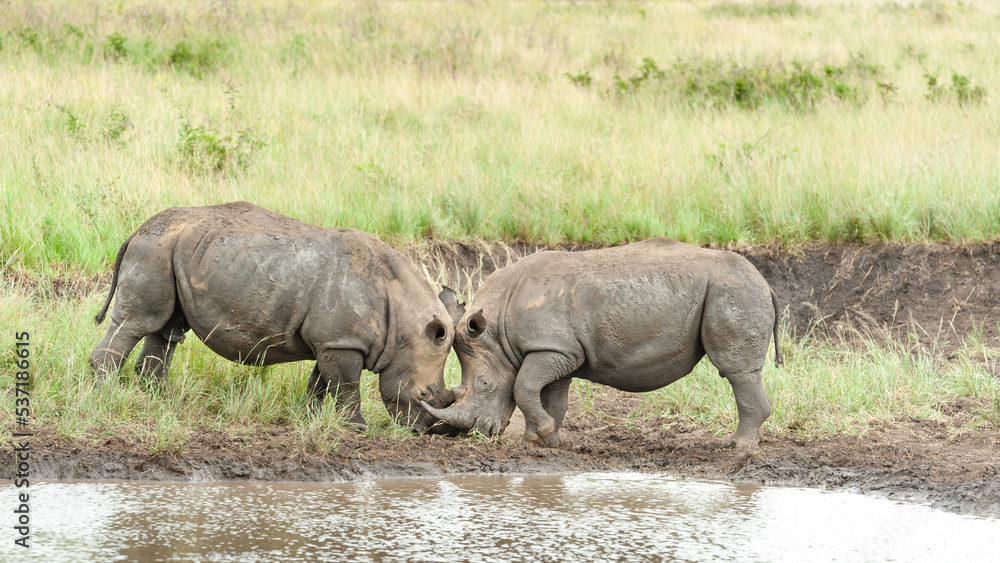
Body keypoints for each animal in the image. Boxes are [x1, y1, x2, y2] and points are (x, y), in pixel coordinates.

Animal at [89, 201, 461, 432]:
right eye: (424, 395)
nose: (431, 432)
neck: (405, 321)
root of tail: (136, 231)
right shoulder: (343, 341)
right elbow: (346, 385)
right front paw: (357, 427)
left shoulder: (331, 339)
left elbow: (321, 381)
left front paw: (309, 416)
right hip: (153, 250)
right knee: (138, 323)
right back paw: (107, 394)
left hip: (172, 250)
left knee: (165, 328)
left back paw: (159, 399)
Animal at [421, 238, 782, 450]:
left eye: (485, 385)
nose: (479, 433)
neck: (497, 332)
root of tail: (766, 283)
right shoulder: (562, 351)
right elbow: (552, 397)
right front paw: (545, 439)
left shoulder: (550, 348)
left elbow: (523, 386)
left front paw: (541, 434)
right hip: (733, 289)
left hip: (732, 291)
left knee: (736, 370)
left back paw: (737, 448)